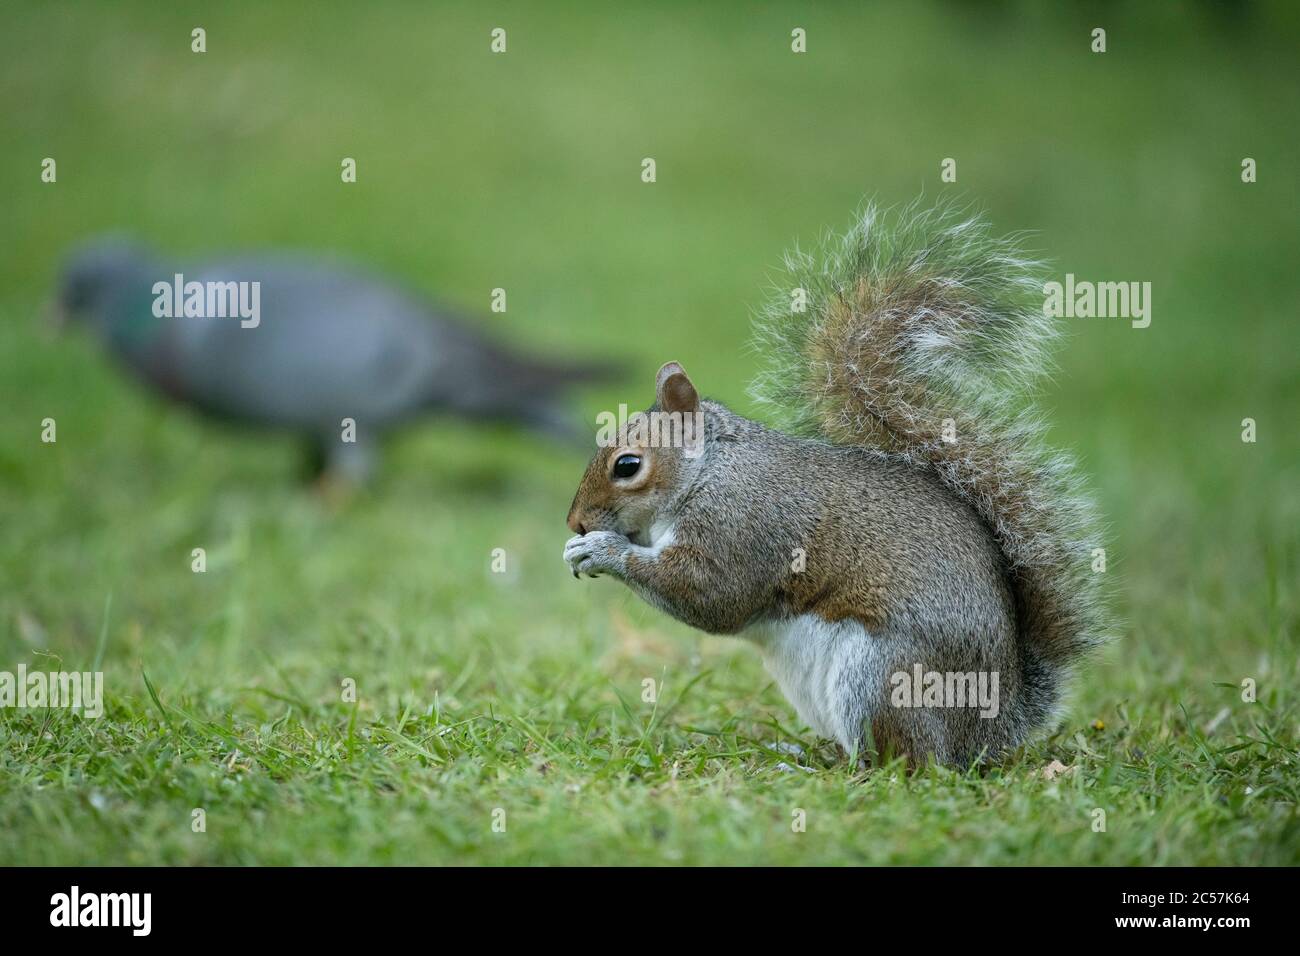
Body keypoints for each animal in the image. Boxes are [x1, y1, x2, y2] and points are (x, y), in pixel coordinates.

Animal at [559, 201, 1107, 770]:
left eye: (627, 465)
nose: (575, 521)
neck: (707, 473)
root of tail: (992, 730)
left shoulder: (742, 525)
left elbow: (709, 595)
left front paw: (601, 550)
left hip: (882, 675)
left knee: (904, 761)